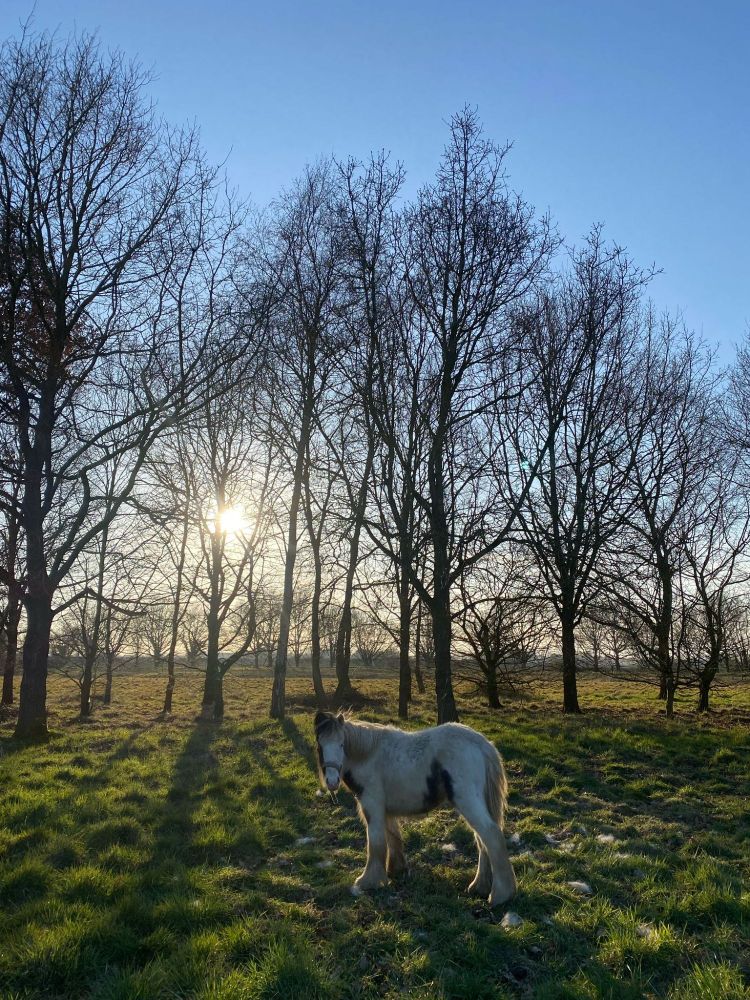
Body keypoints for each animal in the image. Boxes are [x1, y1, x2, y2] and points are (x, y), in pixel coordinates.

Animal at [314, 710, 517, 907]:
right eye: (320, 745)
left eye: (341, 744)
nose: (332, 782)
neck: (369, 756)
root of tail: (482, 744)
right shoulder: (386, 811)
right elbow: (392, 837)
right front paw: (395, 870)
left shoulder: (372, 806)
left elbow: (376, 843)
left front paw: (369, 881)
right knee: (482, 840)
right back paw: (480, 886)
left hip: (468, 802)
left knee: (491, 836)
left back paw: (500, 895)